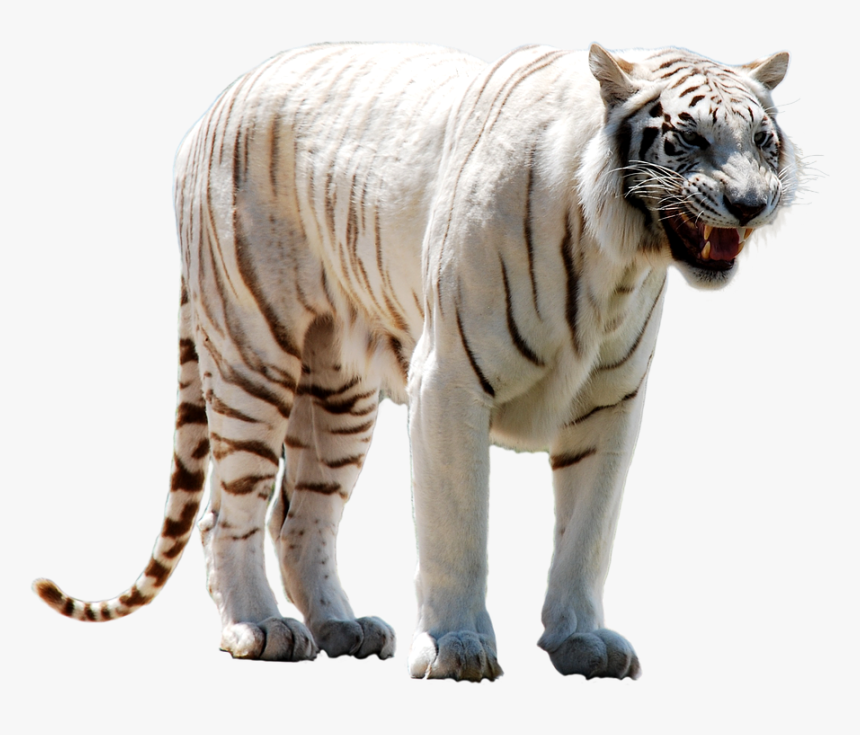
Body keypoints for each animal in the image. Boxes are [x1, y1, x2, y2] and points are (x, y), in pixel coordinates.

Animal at [33, 41, 799, 682]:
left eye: (763, 140)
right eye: (689, 136)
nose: (750, 203)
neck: (618, 256)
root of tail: (221, 100)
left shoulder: (611, 405)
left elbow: (588, 533)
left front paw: (582, 640)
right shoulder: (450, 382)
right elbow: (458, 527)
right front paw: (458, 648)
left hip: (338, 396)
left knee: (299, 519)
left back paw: (343, 627)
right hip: (252, 352)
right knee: (227, 513)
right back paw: (259, 627)